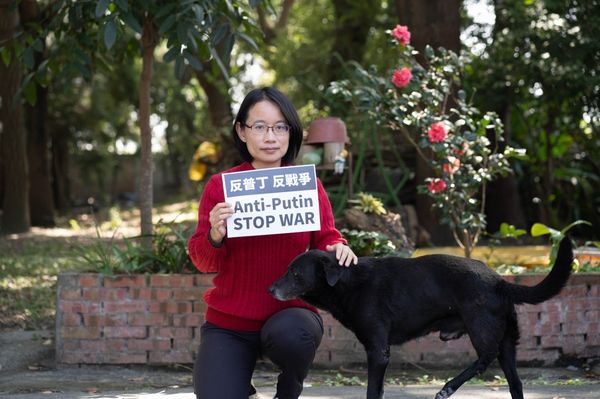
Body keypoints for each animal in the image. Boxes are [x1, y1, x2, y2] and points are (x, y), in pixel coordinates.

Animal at [270, 238, 576, 399]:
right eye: (287, 269)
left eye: (295, 273)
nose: (270, 289)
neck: (347, 282)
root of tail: (500, 281)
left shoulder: (378, 351)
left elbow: (372, 390)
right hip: (508, 344)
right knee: (515, 382)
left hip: (481, 328)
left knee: (483, 360)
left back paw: (448, 387)